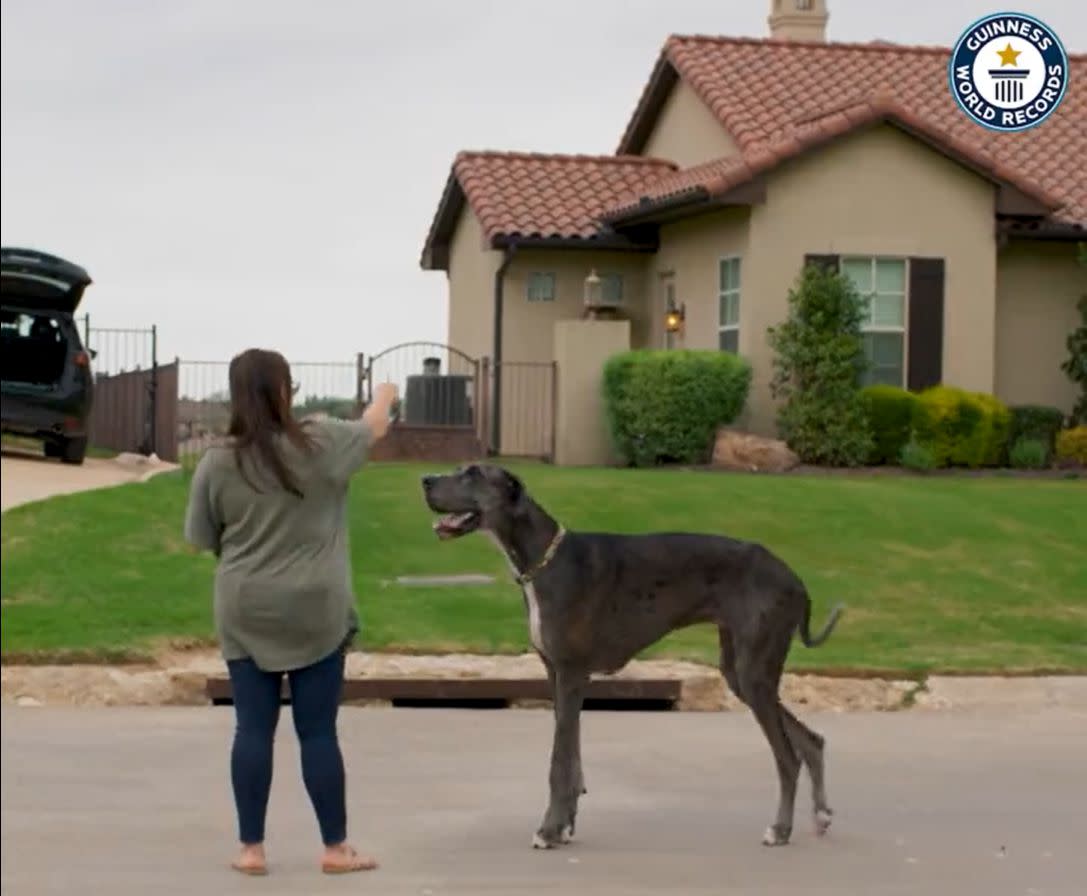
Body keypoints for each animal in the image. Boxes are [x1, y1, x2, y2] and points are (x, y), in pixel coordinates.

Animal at [419, 465, 843, 852]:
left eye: (473, 474)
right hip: (740, 672)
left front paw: (549, 831)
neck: (543, 558)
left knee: (787, 757)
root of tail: (795, 579)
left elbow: (559, 762)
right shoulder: (557, 674)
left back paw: (780, 830)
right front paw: (566, 824)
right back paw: (821, 815)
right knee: (811, 740)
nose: (425, 480)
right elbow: (572, 757)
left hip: (753, 671)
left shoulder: (571, 673)